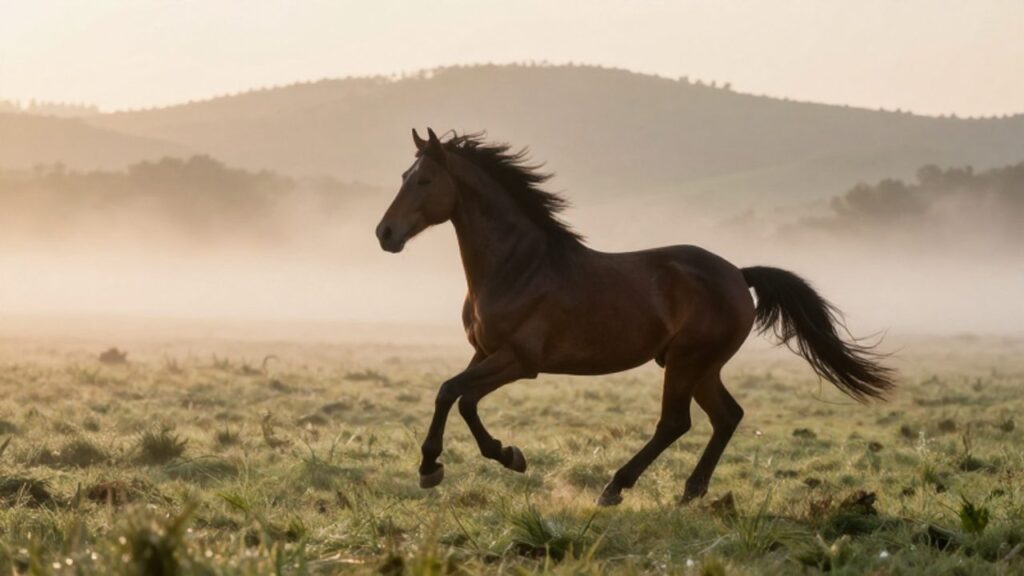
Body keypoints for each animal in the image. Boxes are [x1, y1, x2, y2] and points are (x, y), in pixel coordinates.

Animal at [375, 128, 892, 506]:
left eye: (424, 181)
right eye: (402, 175)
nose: (385, 234)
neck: (519, 266)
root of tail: (737, 274)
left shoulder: (520, 361)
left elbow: (454, 394)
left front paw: (454, 464)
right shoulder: (484, 352)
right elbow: (456, 396)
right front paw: (486, 458)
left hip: (686, 362)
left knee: (676, 423)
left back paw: (616, 487)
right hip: (701, 366)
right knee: (727, 415)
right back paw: (690, 492)